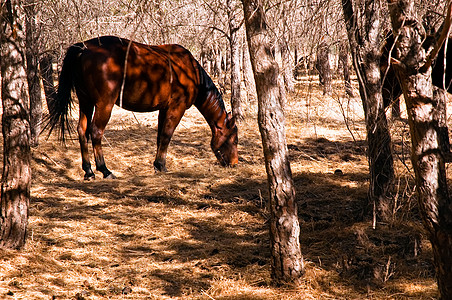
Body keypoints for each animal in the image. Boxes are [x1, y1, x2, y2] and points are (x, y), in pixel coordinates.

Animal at [44, 36, 238, 179]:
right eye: (234, 139)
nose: (234, 164)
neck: (190, 71)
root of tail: (82, 48)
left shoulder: (164, 109)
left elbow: (160, 136)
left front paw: (157, 165)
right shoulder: (177, 107)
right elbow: (167, 135)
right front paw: (161, 166)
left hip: (86, 102)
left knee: (82, 131)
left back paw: (89, 171)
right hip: (104, 104)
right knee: (96, 131)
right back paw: (104, 170)